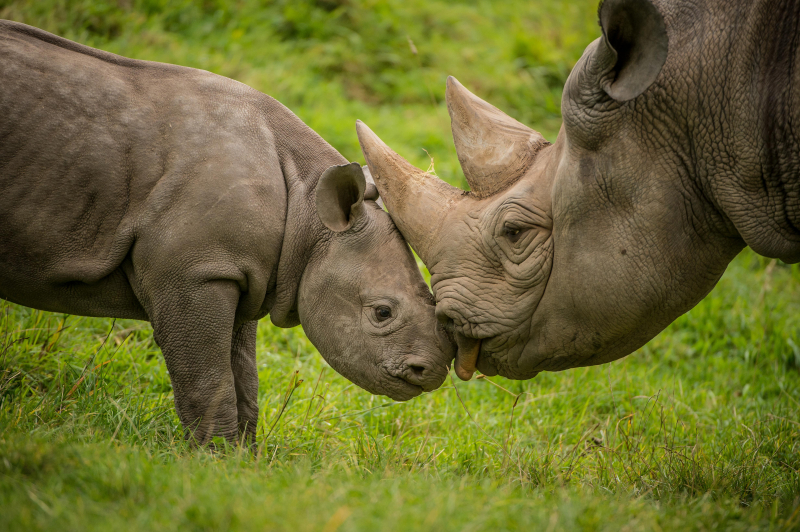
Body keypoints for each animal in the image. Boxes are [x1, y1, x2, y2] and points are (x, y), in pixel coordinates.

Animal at [0, 20, 452, 446]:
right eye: (382, 313)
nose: (430, 372)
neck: (309, 213)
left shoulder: (238, 269)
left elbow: (242, 375)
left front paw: (242, 458)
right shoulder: (193, 272)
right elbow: (207, 378)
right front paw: (211, 457)